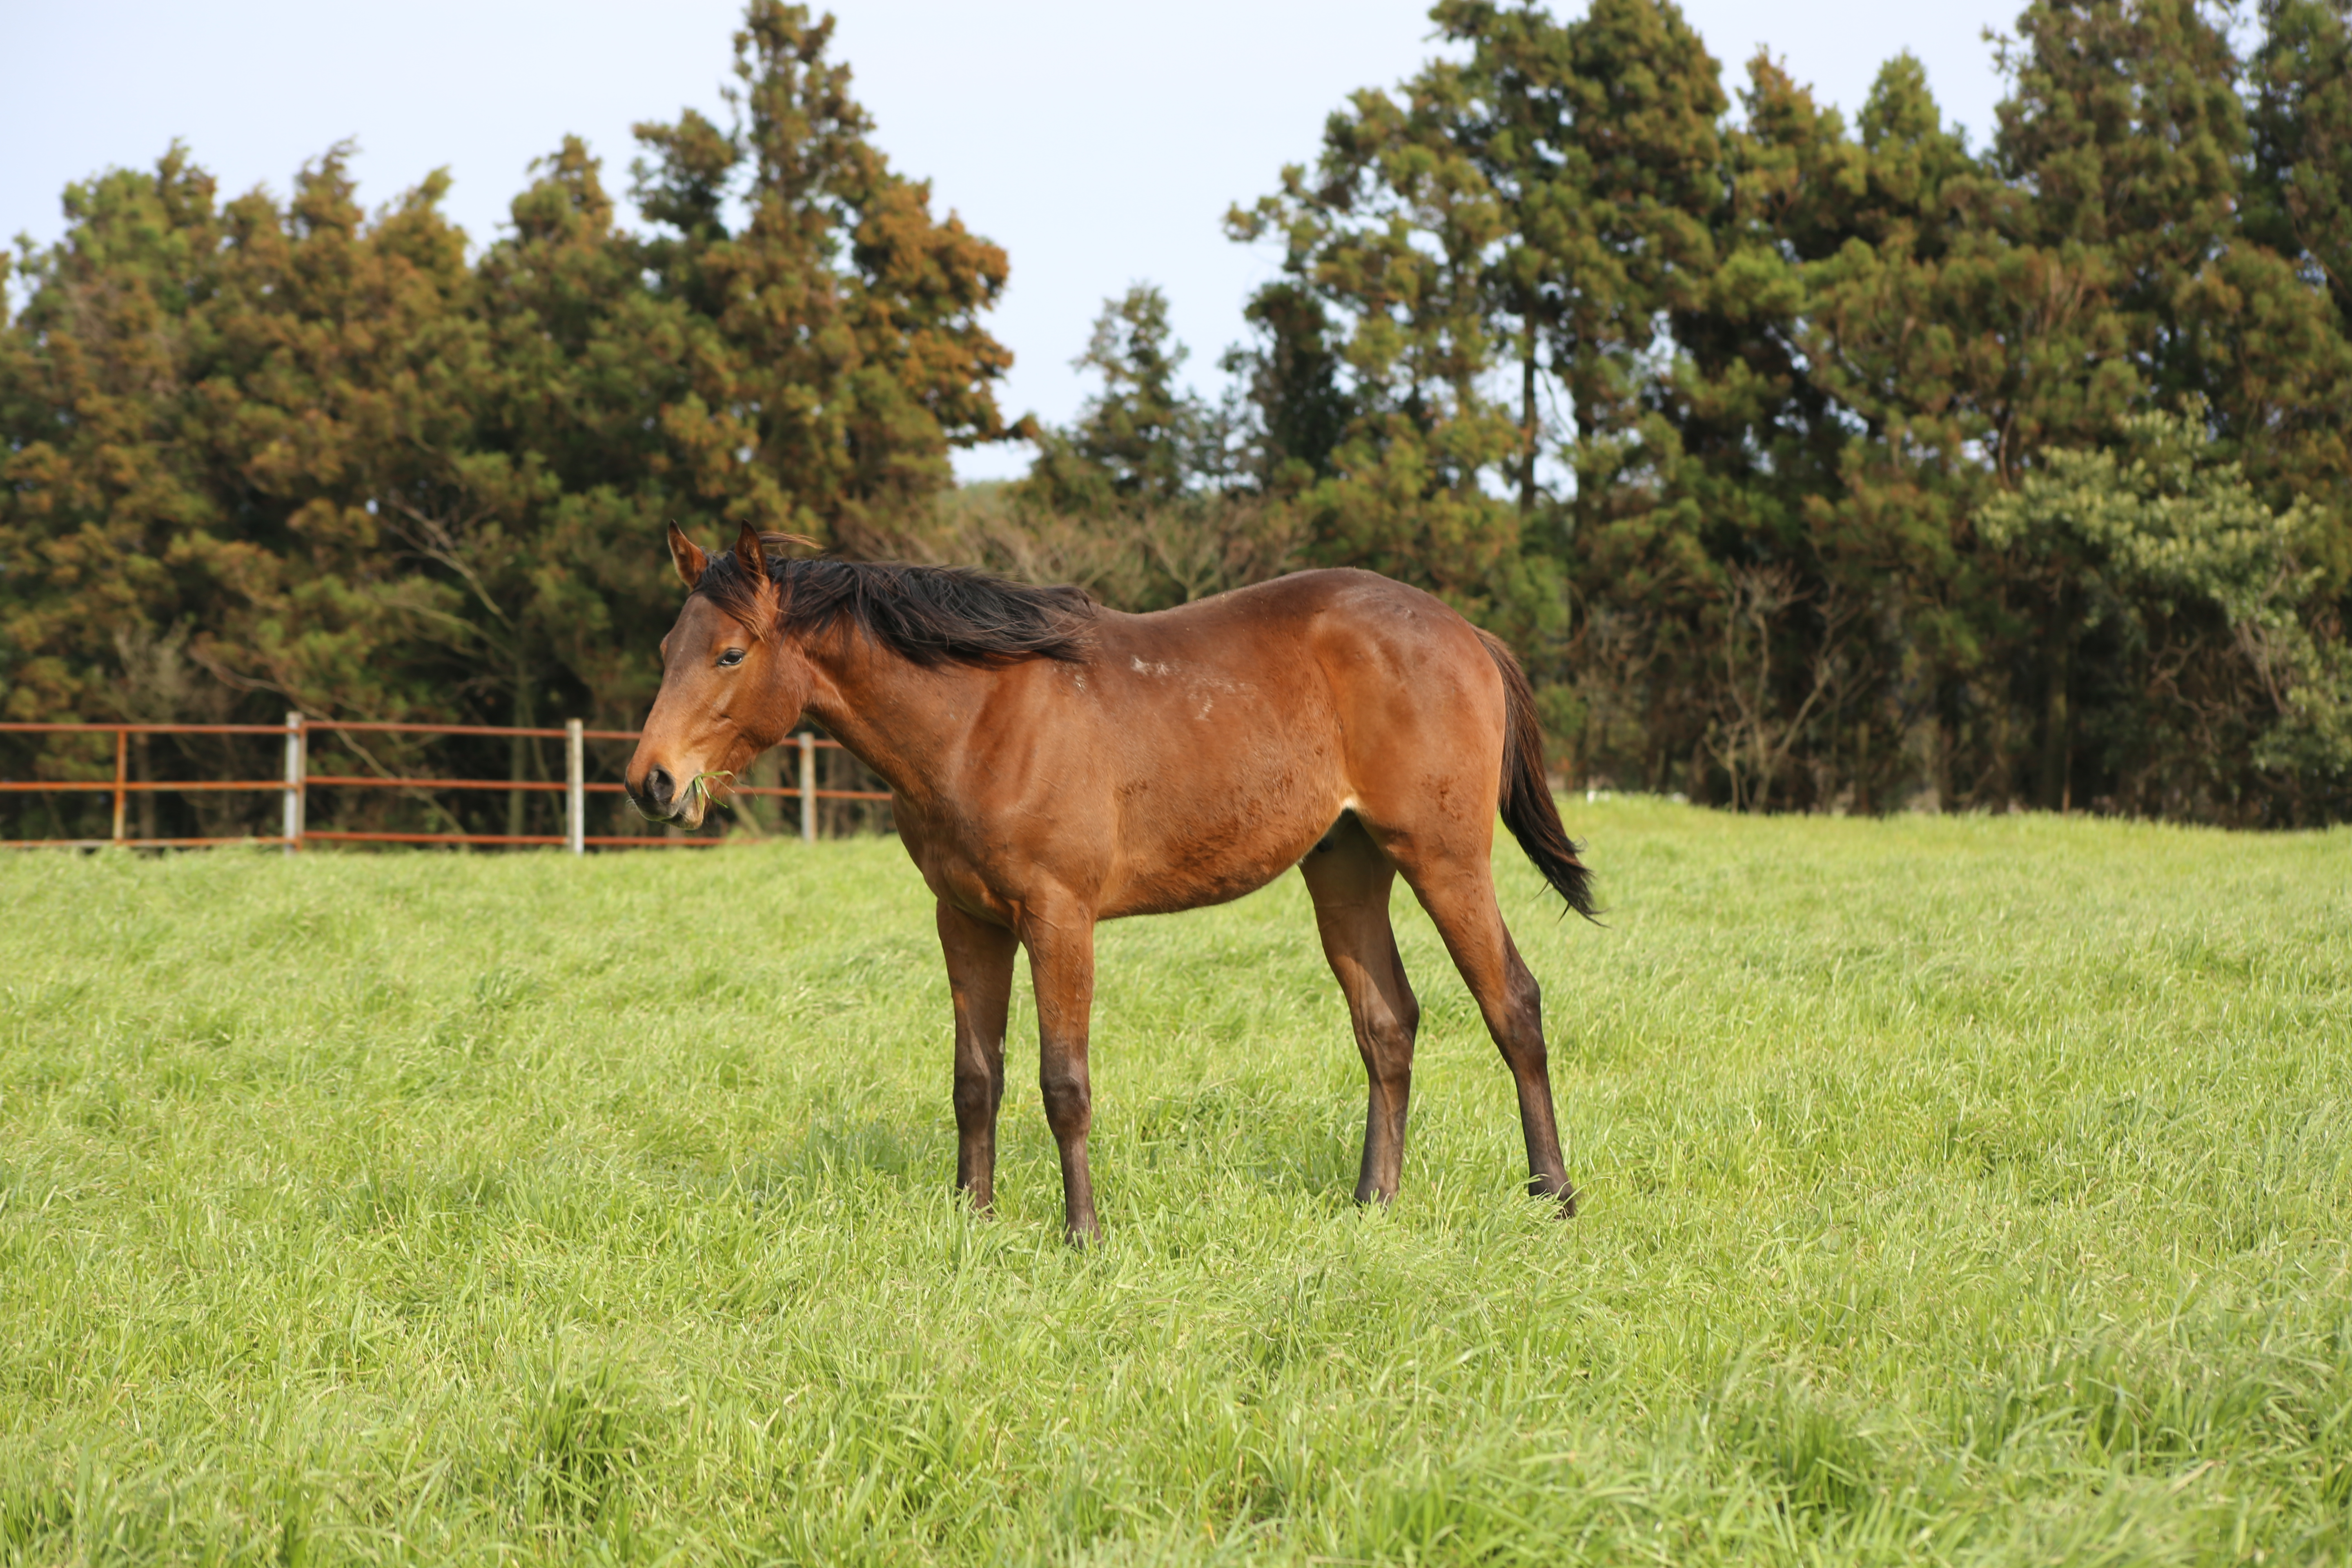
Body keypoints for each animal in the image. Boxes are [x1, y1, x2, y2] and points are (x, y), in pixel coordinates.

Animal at [630, 524, 1599, 1241]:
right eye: (667, 646)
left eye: (729, 655)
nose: (652, 782)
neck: (979, 718)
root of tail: (1465, 633)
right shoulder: (966, 920)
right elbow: (975, 1077)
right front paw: (972, 1223)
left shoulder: (1059, 917)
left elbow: (1065, 1083)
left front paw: (1083, 1235)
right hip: (1347, 866)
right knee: (1388, 1025)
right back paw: (1373, 1203)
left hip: (1444, 859)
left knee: (1514, 1004)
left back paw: (1553, 1195)